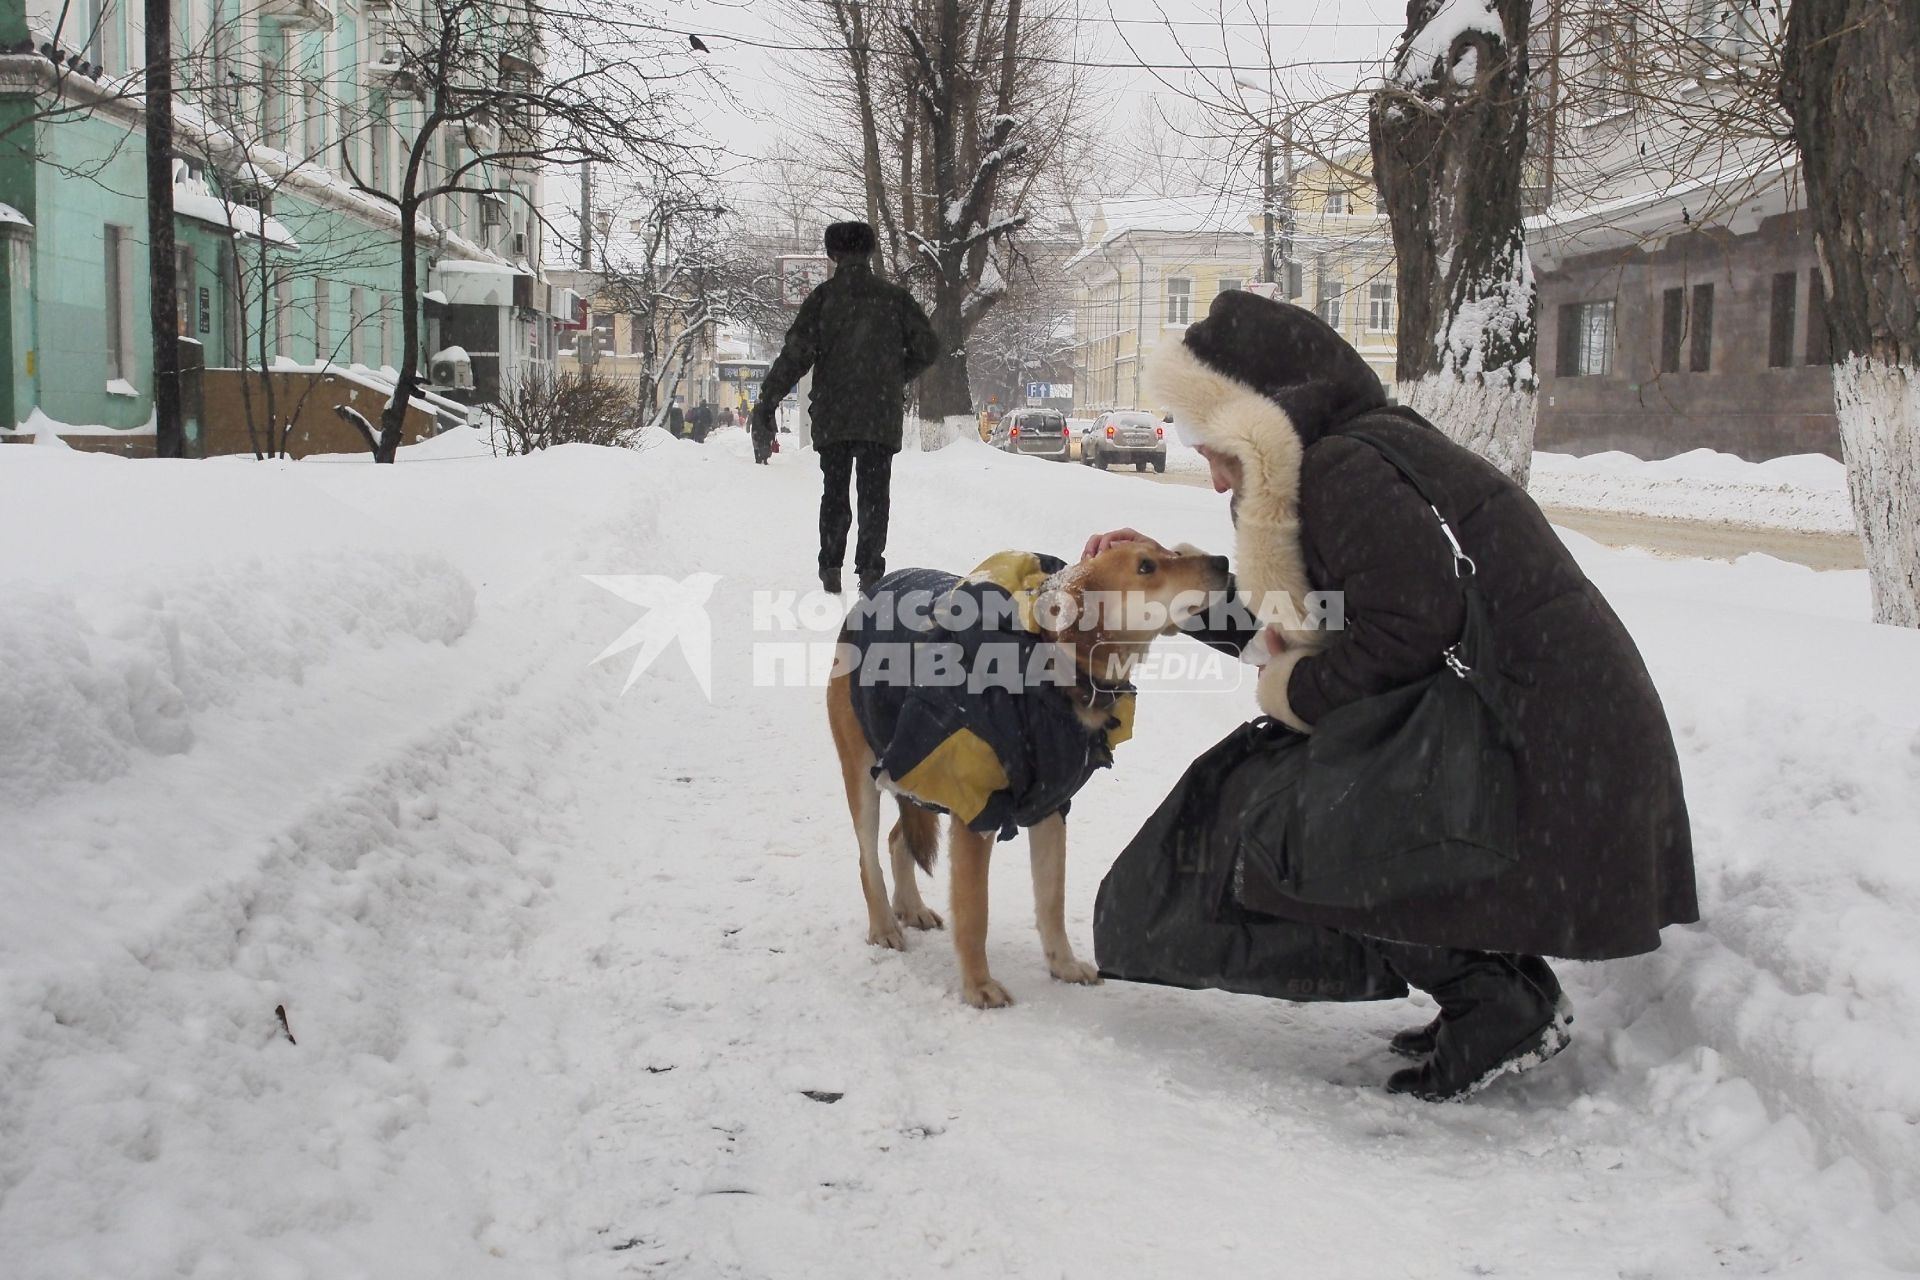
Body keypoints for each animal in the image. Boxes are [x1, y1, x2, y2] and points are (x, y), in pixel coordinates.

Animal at [825, 541, 1228, 1013]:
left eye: (1174, 551)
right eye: (1146, 566)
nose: (1223, 563)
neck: (1052, 674)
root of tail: (871, 595)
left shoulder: (1049, 806)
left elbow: (1052, 898)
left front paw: (1063, 965)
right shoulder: (976, 810)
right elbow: (974, 911)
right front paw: (978, 986)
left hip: (920, 776)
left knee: (896, 838)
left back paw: (911, 906)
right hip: (867, 774)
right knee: (868, 856)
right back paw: (885, 925)